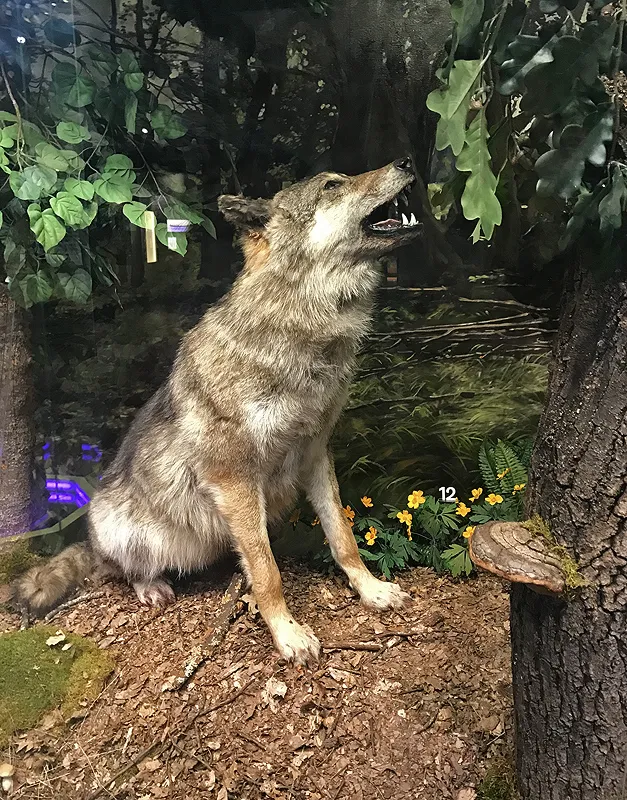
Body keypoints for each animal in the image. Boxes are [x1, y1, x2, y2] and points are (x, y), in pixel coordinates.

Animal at [14, 157, 423, 664]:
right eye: (332, 185)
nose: (406, 160)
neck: (302, 334)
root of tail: (90, 540)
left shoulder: (315, 455)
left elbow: (342, 538)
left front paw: (371, 590)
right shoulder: (233, 477)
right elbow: (267, 573)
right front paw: (287, 634)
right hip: (127, 530)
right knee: (118, 570)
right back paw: (150, 586)